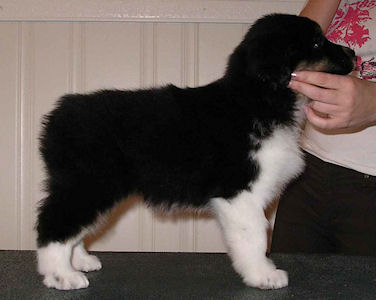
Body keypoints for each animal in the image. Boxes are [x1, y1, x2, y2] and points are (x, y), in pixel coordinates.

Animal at [36, 14, 356, 290]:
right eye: (317, 43)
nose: (353, 54)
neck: (259, 99)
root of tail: (58, 116)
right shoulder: (239, 192)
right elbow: (254, 234)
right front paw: (263, 275)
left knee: (74, 225)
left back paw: (80, 261)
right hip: (92, 182)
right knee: (54, 223)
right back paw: (61, 275)